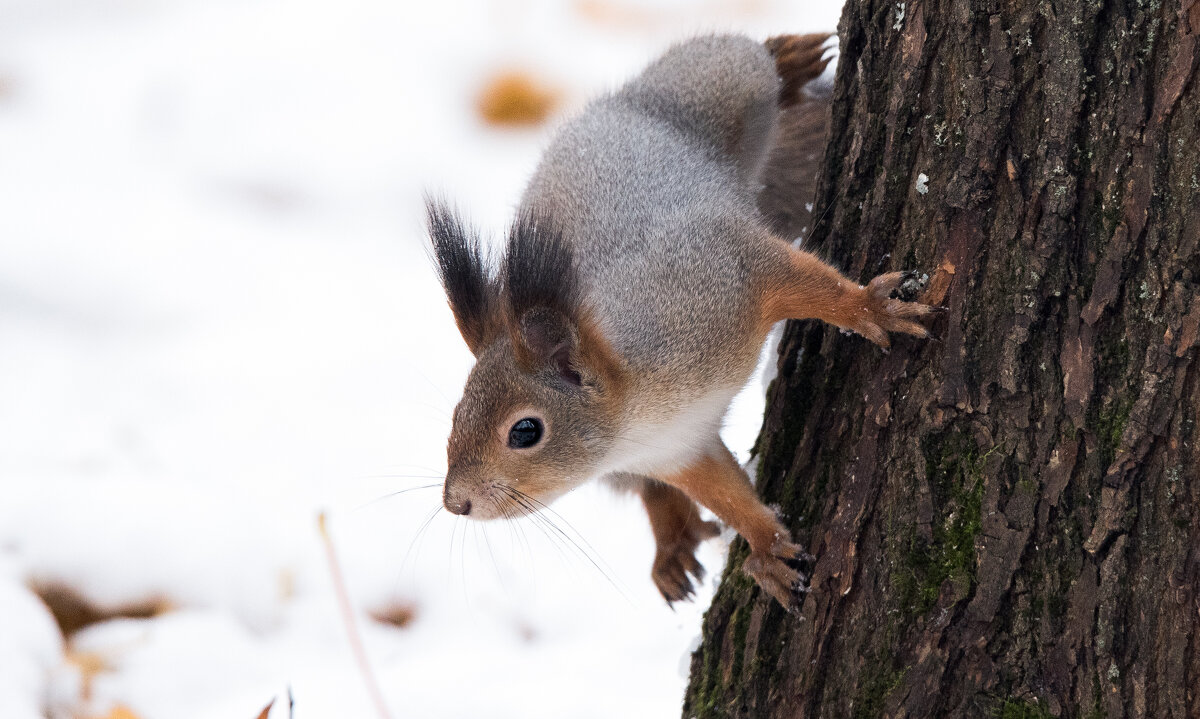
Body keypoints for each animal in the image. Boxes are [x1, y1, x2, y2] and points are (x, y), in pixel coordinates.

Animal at [427, 32, 931, 607]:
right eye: (457, 415)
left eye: (526, 431)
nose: (455, 502)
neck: (638, 417)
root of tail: (606, 109)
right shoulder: (678, 451)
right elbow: (725, 493)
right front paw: (767, 548)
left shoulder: (726, 274)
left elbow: (806, 283)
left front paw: (872, 308)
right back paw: (671, 541)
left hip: (713, 87)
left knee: (737, 57)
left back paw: (788, 58)